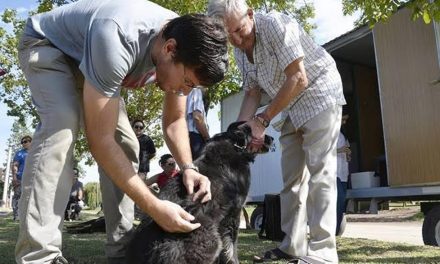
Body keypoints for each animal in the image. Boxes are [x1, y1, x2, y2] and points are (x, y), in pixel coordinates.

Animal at [125, 122, 274, 264]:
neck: (236, 146)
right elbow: (231, 248)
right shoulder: (233, 214)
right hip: (208, 235)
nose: (272, 138)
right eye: (260, 132)